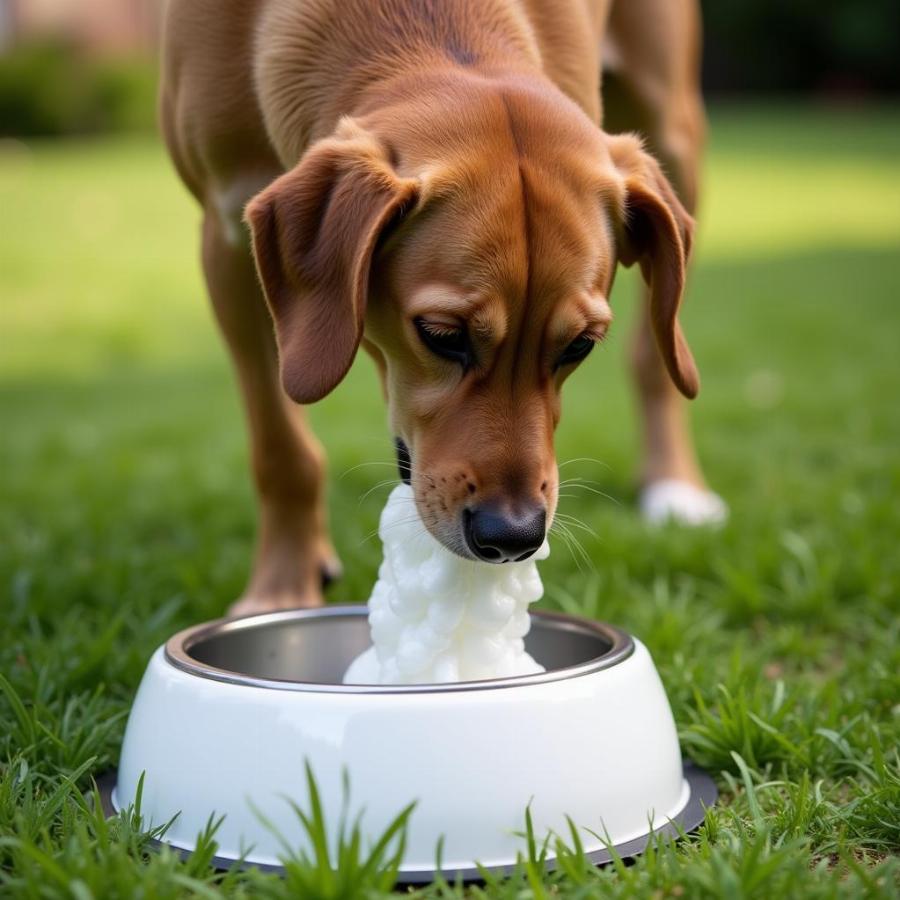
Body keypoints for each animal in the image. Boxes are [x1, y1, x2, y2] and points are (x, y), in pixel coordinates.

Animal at [160, 0, 724, 616]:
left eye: (579, 345)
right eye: (442, 335)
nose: (514, 536)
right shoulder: (226, 242)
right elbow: (280, 447)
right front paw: (280, 590)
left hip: (674, 132)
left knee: (652, 354)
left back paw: (673, 486)